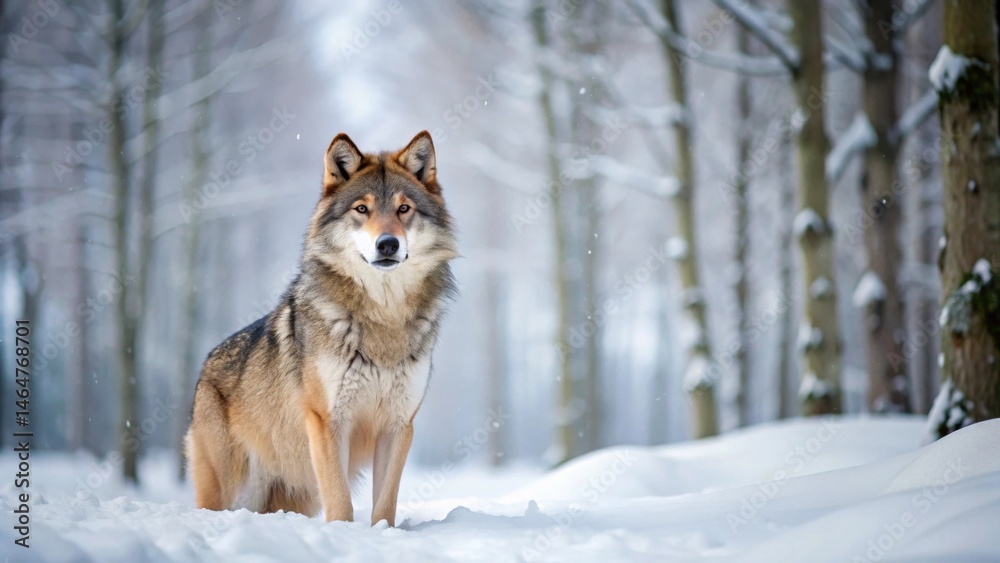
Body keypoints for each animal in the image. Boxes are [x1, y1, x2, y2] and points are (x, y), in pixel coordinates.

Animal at [184, 131, 457, 526]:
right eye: (362, 209)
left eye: (404, 209)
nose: (387, 244)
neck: (382, 317)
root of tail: (206, 365)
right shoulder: (328, 421)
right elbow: (341, 503)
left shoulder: (399, 425)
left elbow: (385, 505)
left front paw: (382, 532)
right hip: (229, 489)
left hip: (293, 497)